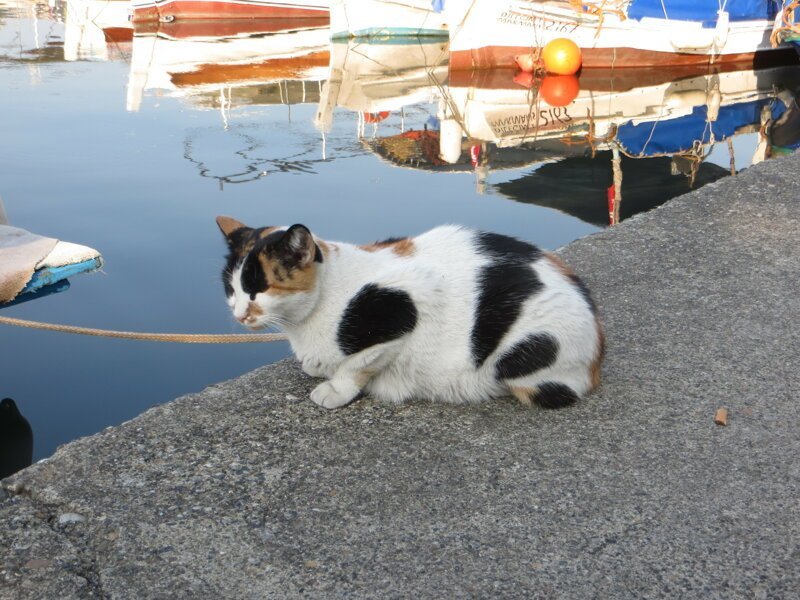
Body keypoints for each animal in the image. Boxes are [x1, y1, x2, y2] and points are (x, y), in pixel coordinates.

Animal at [216, 218, 604, 410]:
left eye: (259, 290)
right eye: (231, 289)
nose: (239, 315)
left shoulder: (408, 301)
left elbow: (357, 364)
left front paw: (335, 389)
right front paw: (318, 367)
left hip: (527, 347)